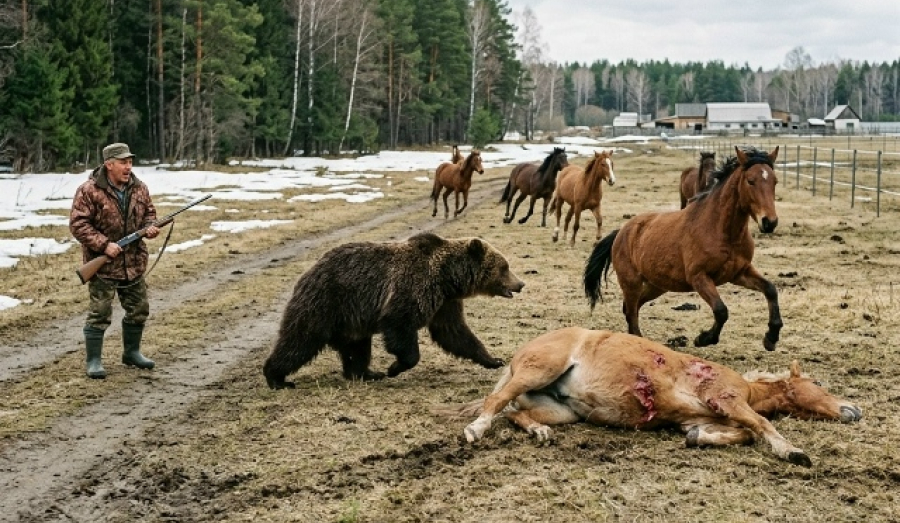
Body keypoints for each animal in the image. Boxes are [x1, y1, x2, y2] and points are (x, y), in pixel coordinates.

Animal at [263, 232, 526, 389]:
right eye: (504, 267)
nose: (520, 283)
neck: (448, 278)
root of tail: (308, 272)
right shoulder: (414, 288)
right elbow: (400, 324)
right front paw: (394, 368)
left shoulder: (444, 303)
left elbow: (455, 333)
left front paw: (493, 359)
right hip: (326, 303)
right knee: (299, 340)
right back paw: (277, 378)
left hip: (352, 321)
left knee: (357, 349)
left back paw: (365, 373)